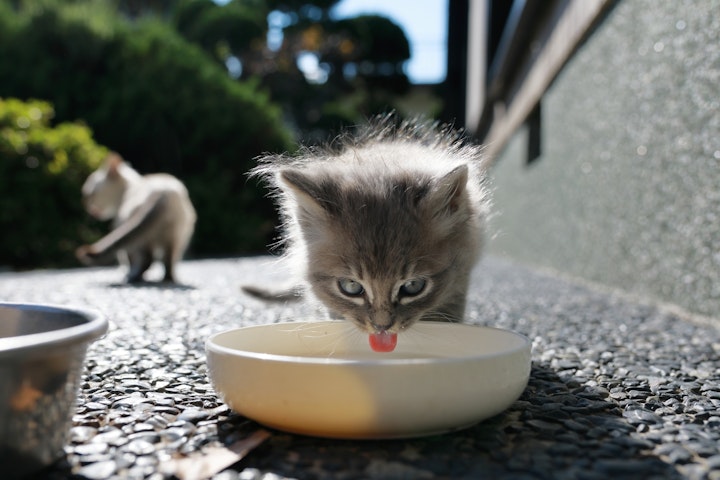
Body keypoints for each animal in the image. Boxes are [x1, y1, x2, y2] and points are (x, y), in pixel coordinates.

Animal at [76, 152, 197, 284]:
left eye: (87, 193)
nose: (84, 204)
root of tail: (162, 193)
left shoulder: (120, 226)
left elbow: (126, 259)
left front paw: (128, 273)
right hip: (177, 239)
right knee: (169, 263)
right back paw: (167, 279)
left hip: (141, 238)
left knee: (147, 259)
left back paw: (132, 277)